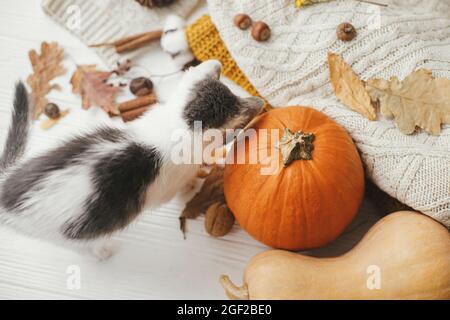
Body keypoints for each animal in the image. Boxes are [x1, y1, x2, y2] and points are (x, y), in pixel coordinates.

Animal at [0, 60, 264, 260]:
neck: (177, 124)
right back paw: (103, 251)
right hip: (63, 232)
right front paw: (197, 182)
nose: (259, 104)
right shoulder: (170, 184)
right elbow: (184, 187)